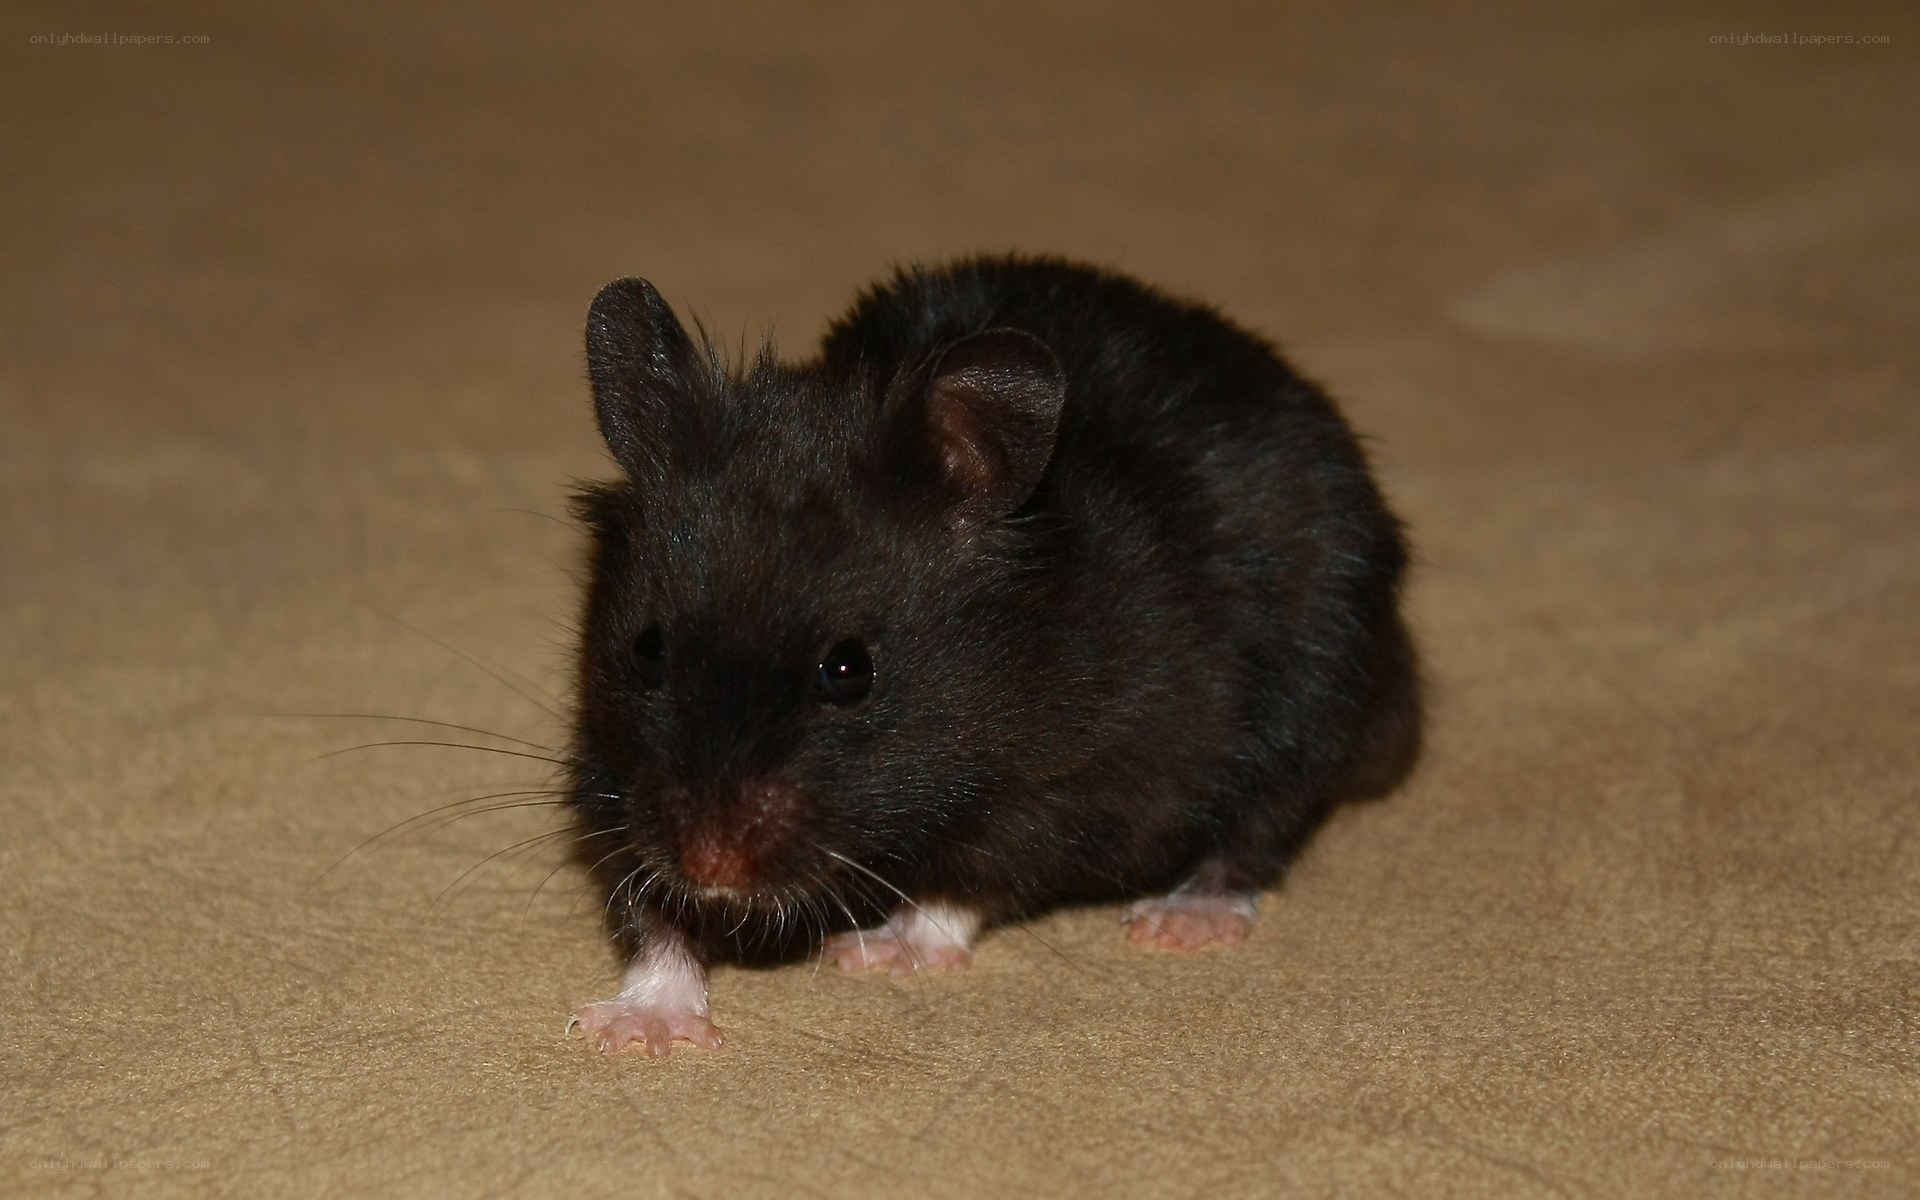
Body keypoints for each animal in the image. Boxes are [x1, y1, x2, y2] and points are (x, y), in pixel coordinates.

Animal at [566, 256, 1420, 1056]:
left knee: (1260, 830)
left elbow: (973, 876)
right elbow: (649, 907)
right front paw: (636, 1031)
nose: (710, 863)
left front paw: (869, 954)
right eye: (647, 648)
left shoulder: (1080, 789)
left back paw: (1177, 922)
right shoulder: (612, 772)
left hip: (1314, 693)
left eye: (848, 671)